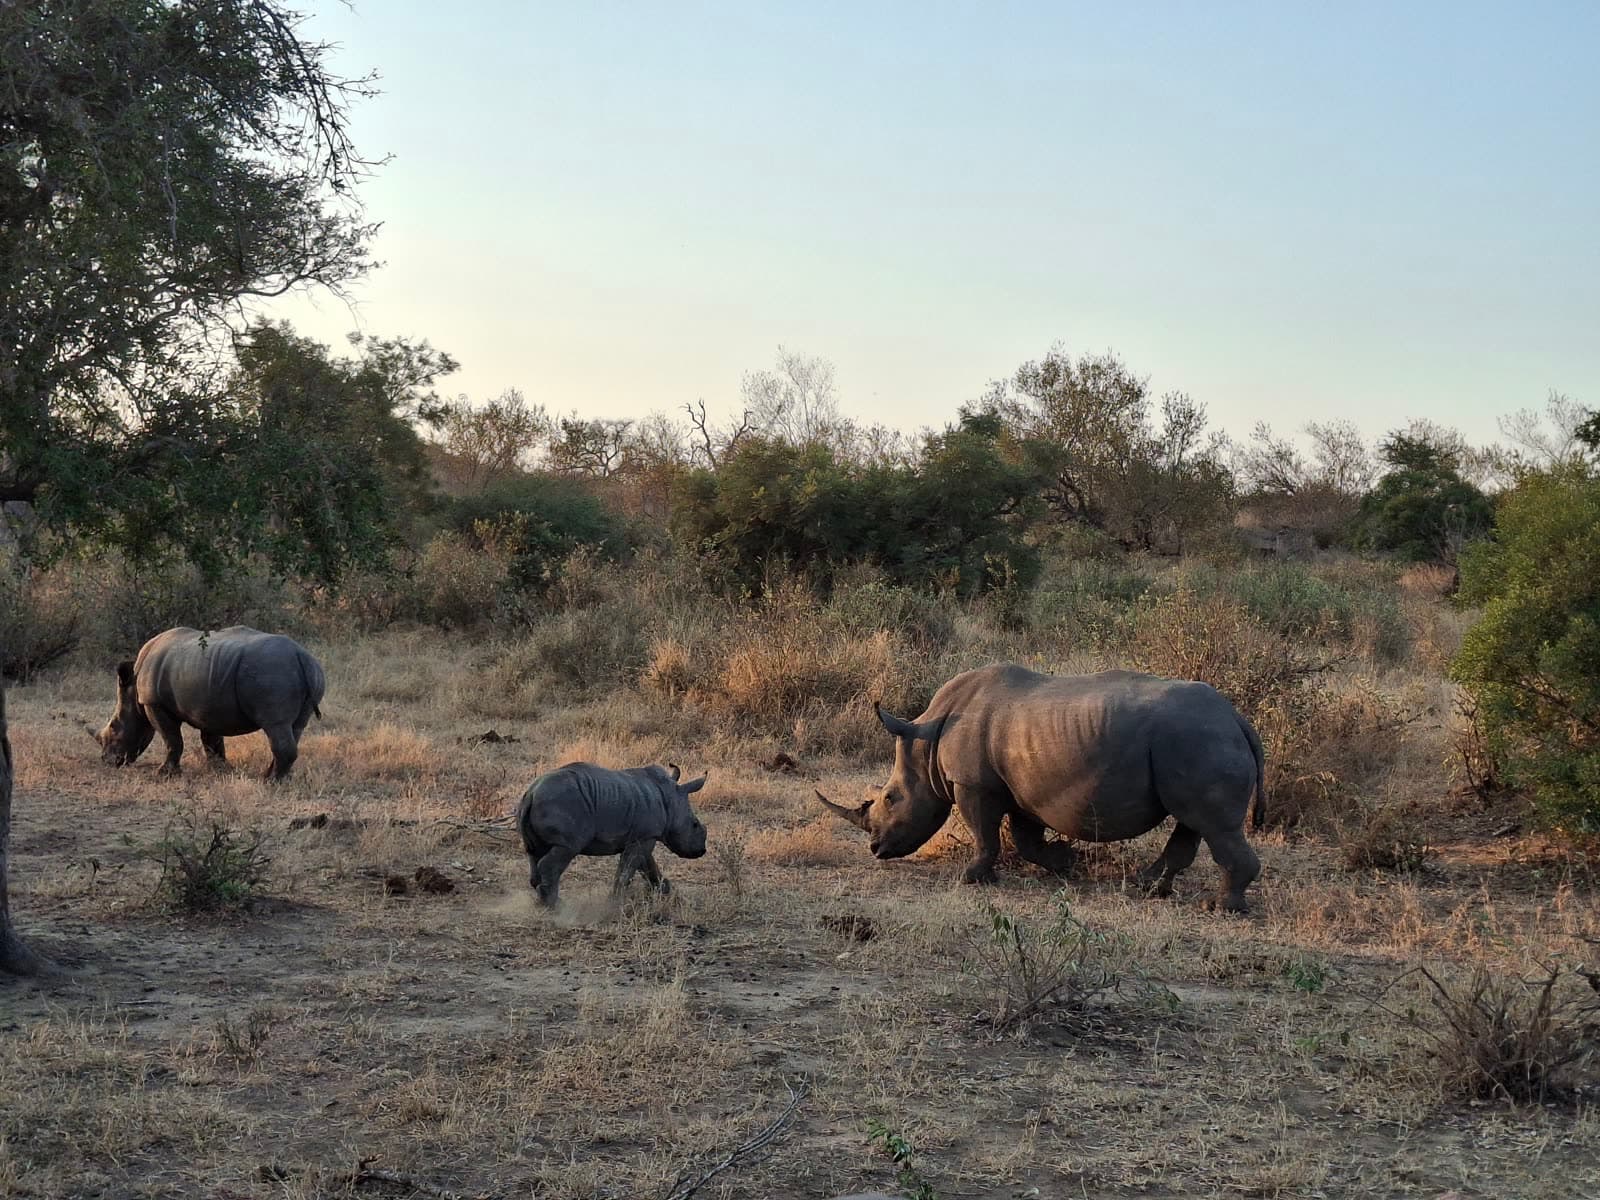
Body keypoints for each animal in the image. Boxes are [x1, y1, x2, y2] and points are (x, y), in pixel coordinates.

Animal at [96, 626, 326, 781]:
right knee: (296, 726)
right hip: (310, 673)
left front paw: (164, 773)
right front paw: (220, 770)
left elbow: (172, 739)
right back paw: (277, 777)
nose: (107, 761)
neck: (134, 686)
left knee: (276, 725)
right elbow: (211, 740)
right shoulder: (208, 705)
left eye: (114, 727)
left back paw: (270, 782)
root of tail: (301, 656)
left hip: (273, 672)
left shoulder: (154, 703)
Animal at [516, 761, 708, 907]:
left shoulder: (642, 836)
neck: (670, 799)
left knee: (534, 853)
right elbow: (627, 870)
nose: (701, 851)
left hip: (541, 805)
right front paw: (615, 902)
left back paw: (545, 902)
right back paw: (555, 907)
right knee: (565, 850)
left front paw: (665, 890)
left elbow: (647, 865)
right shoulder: (645, 837)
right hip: (562, 806)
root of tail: (531, 793)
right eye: (695, 825)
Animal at [816, 664, 1266, 912]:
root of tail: (1238, 720)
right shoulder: (1019, 787)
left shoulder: (973, 783)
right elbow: (1025, 838)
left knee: (1213, 825)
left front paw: (972, 878)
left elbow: (985, 834)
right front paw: (1065, 861)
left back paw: (1218, 908)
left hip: (1197, 740)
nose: (875, 849)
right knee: (1193, 822)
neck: (926, 740)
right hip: (1195, 743)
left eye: (890, 799)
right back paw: (1148, 886)